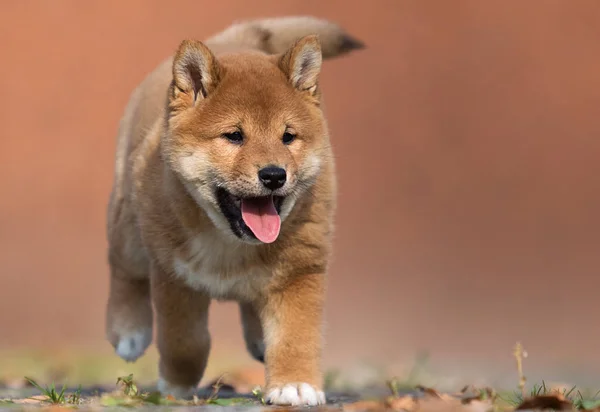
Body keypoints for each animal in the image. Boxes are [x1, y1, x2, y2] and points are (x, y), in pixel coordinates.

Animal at [105, 16, 364, 406]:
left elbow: (296, 336)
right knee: (123, 270)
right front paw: (177, 384)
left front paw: (295, 384)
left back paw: (258, 338)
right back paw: (128, 331)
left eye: (288, 137)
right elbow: (185, 340)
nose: (274, 175)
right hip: (130, 228)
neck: (230, 244)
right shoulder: (173, 273)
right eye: (234, 136)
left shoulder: (300, 268)